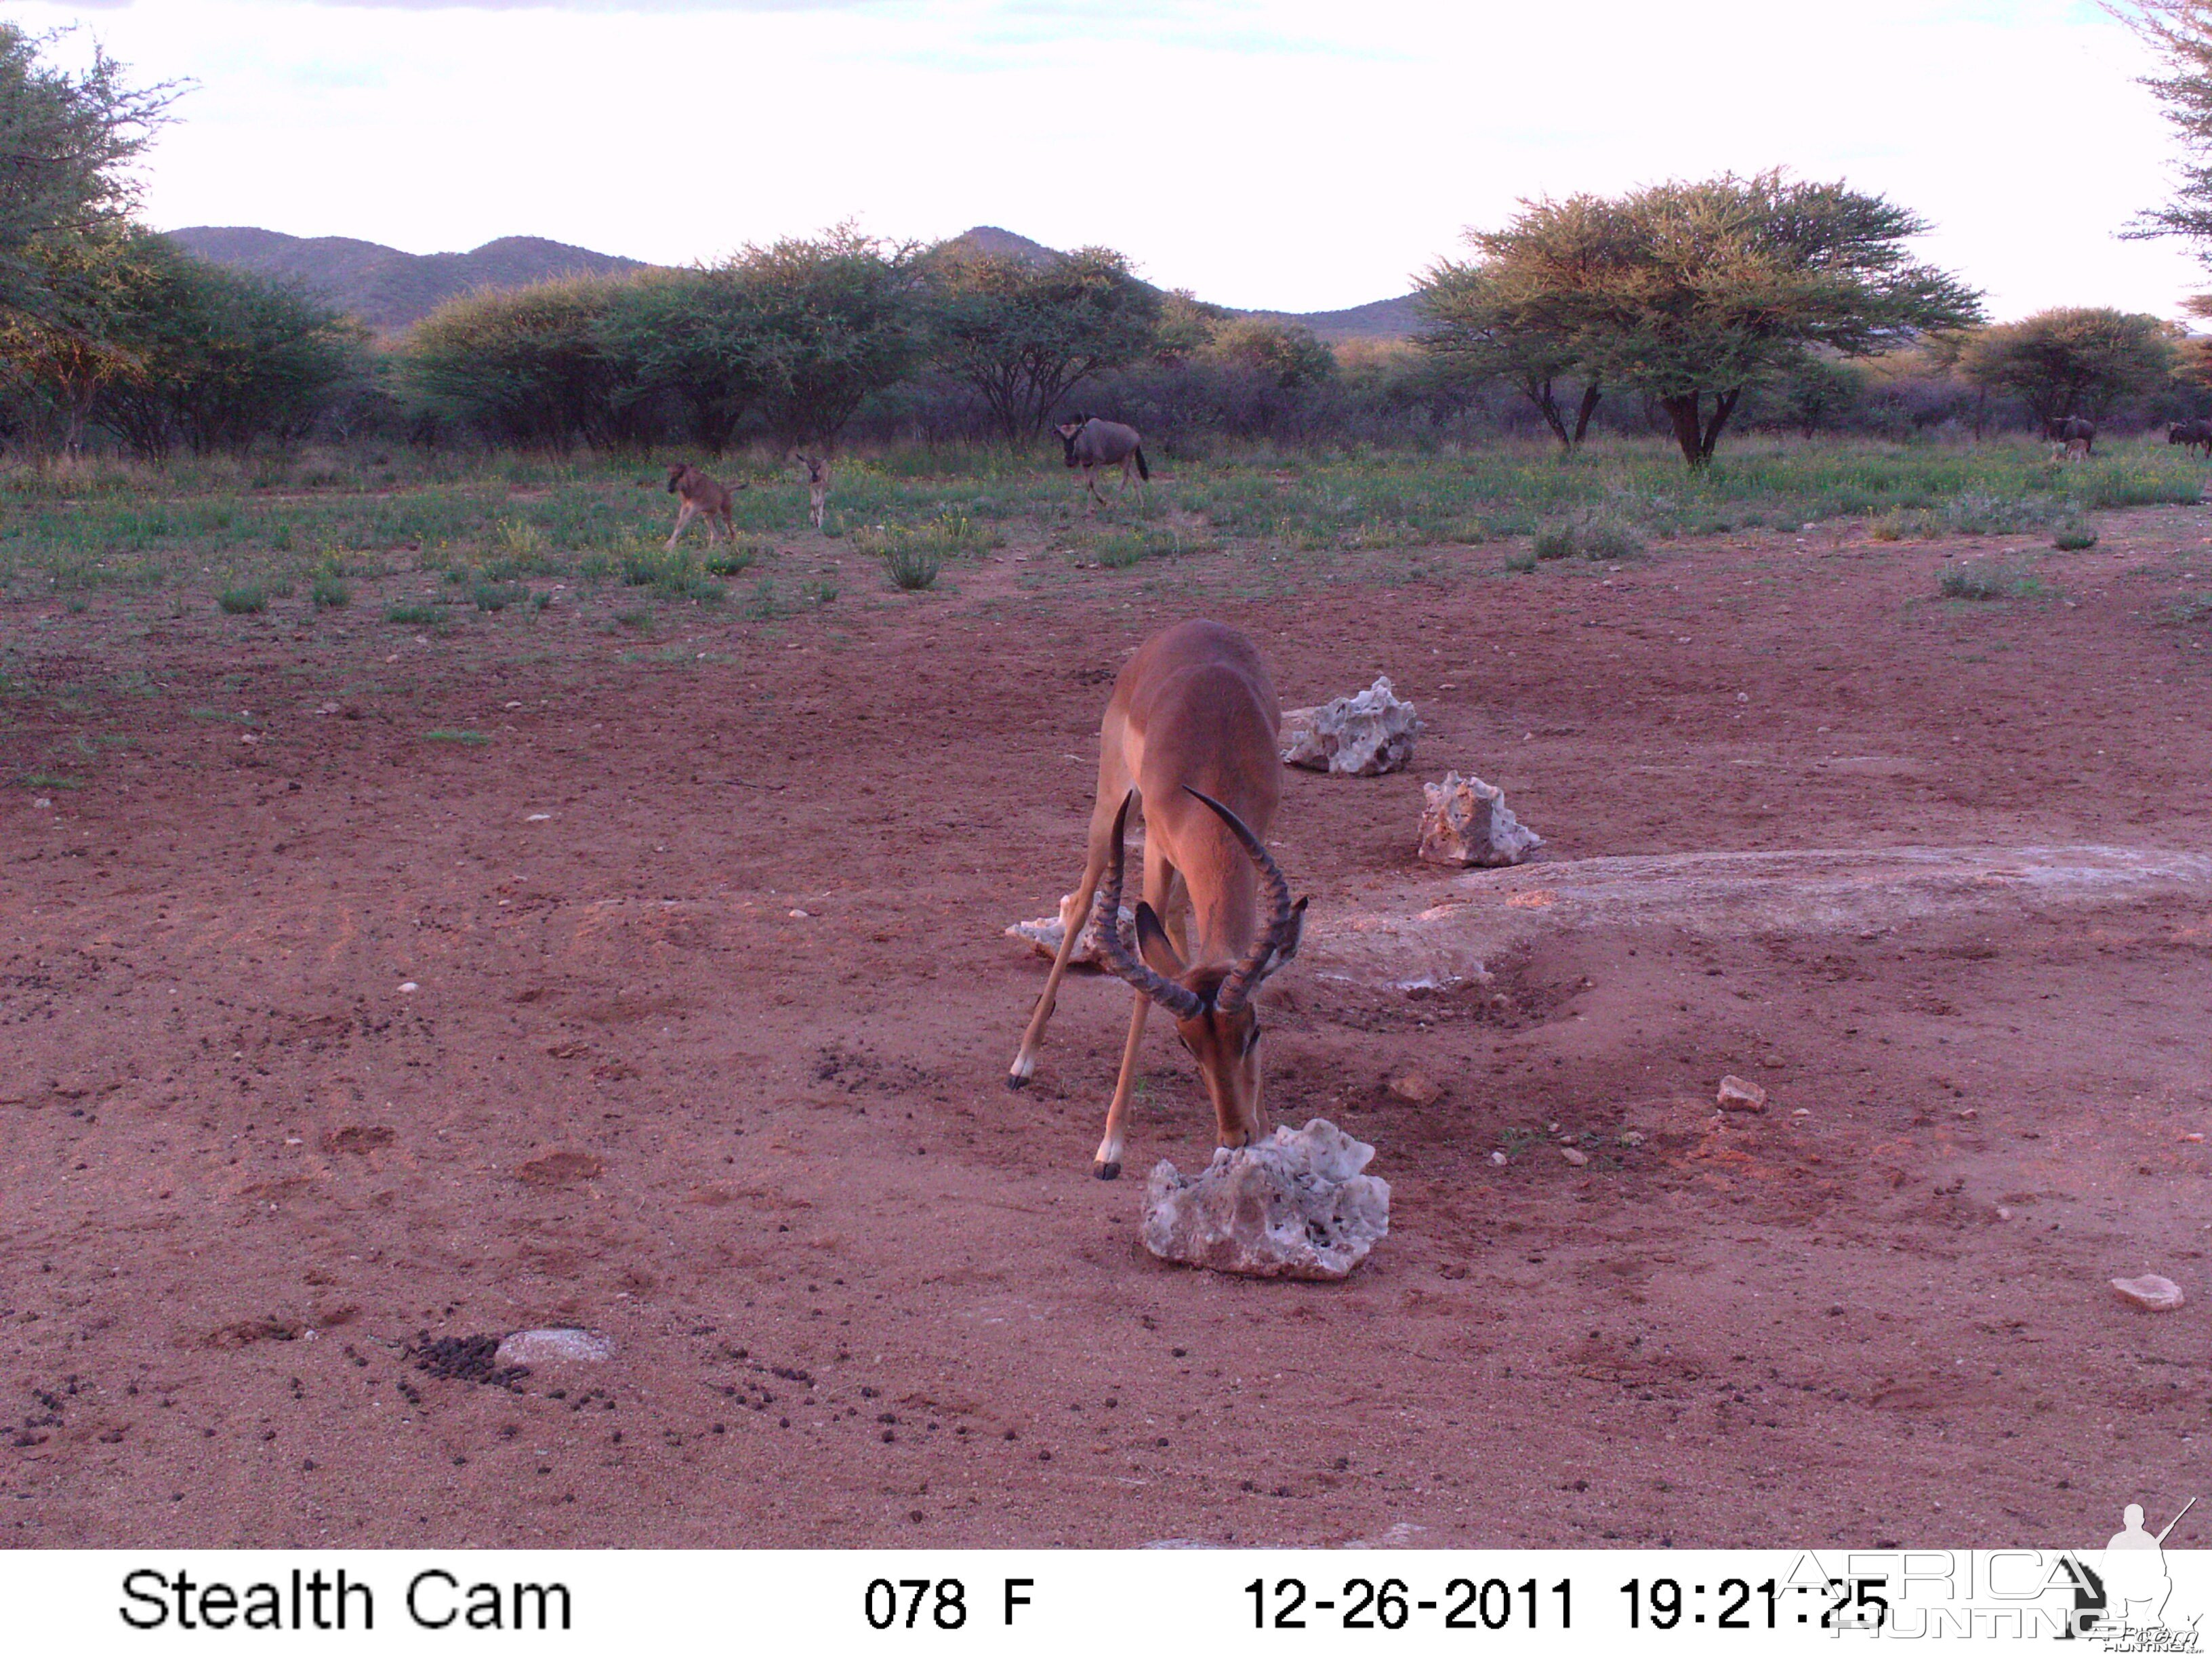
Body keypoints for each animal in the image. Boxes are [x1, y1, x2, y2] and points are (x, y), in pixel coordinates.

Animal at [663, 462, 743, 553]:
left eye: (681, 474)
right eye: (670, 474)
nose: (670, 489)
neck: (690, 489)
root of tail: (728, 491)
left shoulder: (695, 508)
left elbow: (682, 523)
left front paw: (669, 545)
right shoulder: (685, 507)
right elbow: (679, 523)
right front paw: (669, 545)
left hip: (725, 513)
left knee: (731, 531)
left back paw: (734, 548)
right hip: (708, 515)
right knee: (715, 531)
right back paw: (714, 547)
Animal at [1012, 619, 1300, 1185]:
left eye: (1254, 1032)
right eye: (1185, 1043)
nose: (1236, 1136)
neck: (1215, 758)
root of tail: (1190, 626)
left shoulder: (1251, 837)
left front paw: (1266, 1126)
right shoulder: (1156, 854)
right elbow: (1145, 984)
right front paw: (1110, 1148)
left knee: (1172, 928)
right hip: (1114, 810)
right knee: (1084, 904)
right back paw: (1023, 1063)